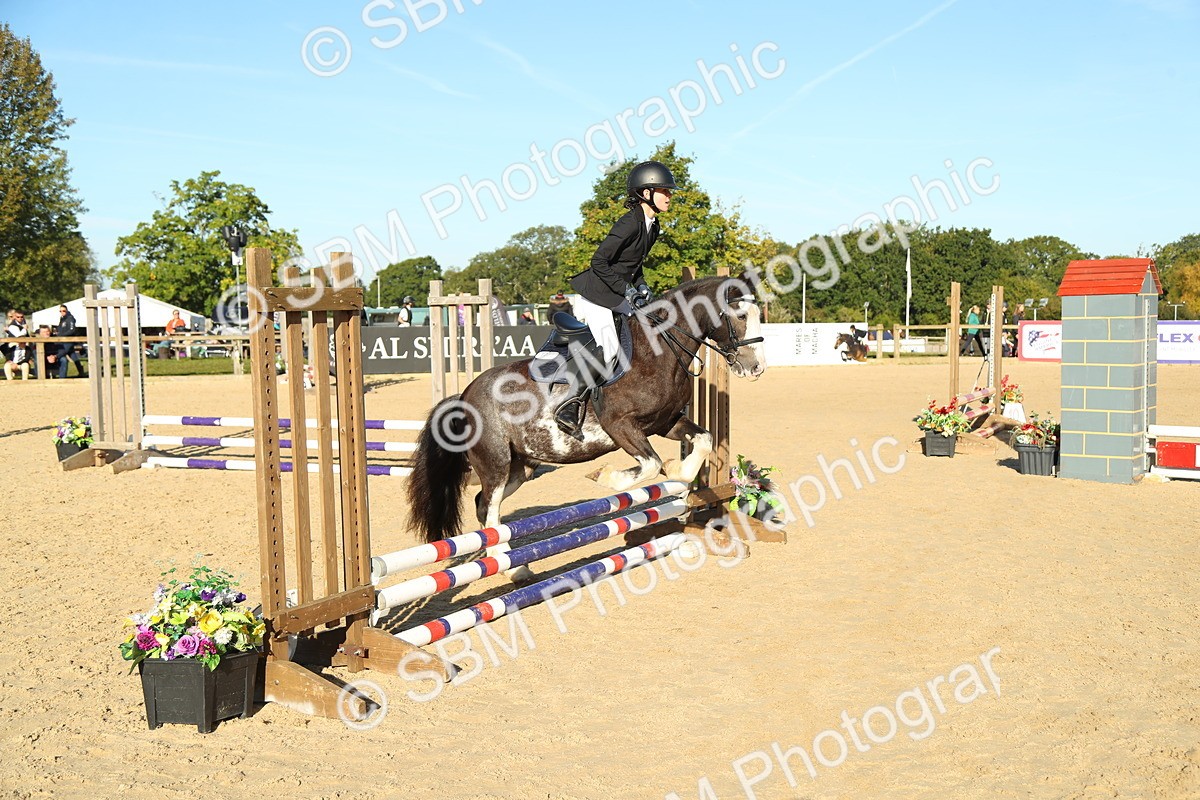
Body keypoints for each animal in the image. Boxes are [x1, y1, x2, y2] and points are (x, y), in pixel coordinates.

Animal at [405, 275, 767, 580]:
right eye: (739, 315)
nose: (757, 368)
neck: (659, 349)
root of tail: (464, 396)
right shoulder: (621, 426)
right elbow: (649, 465)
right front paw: (607, 477)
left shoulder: (665, 422)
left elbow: (703, 440)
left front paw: (679, 473)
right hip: (495, 463)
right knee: (490, 511)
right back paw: (512, 569)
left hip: (520, 468)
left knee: (484, 506)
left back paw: (513, 565)